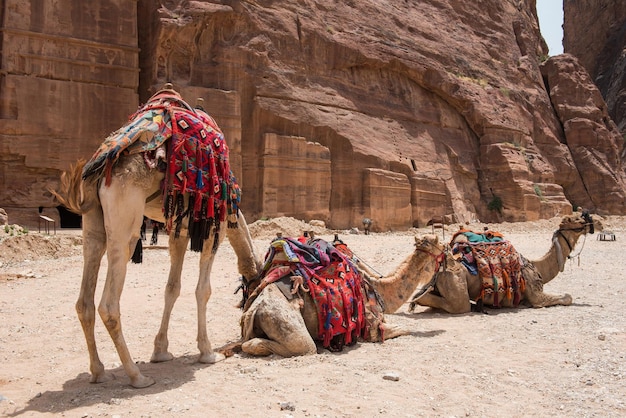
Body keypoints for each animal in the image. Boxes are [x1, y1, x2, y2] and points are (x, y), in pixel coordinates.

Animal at [51, 85, 258, 388]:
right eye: (249, 294)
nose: (244, 325)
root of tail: (100, 169)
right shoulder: (213, 227)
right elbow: (203, 290)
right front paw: (207, 352)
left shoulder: (179, 231)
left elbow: (172, 288)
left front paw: (161, 351)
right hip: (125, 221)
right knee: (108, 304)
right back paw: (137, 376)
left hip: (92, 225)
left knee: (84, 300)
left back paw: (98, 371)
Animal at [404, 212, 600, 314]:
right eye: (578, 219)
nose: (598, 222)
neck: (538, 267)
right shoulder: (536, 294)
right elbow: (567, 297)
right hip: (455, 285)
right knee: (456, 304)